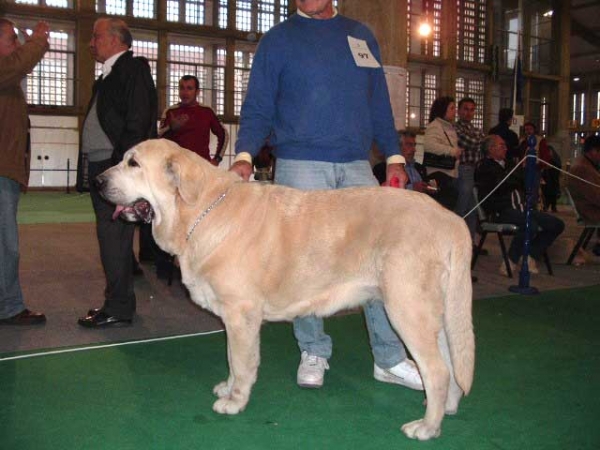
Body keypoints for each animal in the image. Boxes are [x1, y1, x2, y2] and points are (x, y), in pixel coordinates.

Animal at [97, 140, 474, 440]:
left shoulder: (241, 316)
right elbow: (232, 360)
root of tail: (450, 219)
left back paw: (427, 427)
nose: (98, 181)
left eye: (133, 164)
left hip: (406, 309)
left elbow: (241, 362)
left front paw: (235, 400)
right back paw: (447, 408)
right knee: (453, 365)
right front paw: (228, 387)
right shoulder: (234, 320)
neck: (200, 211)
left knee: (438, 371)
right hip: (438, 315)